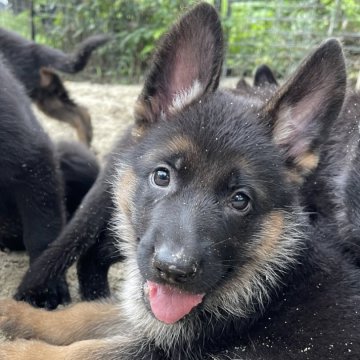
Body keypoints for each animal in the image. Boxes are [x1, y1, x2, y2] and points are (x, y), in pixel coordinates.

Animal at [3, 3, 360, 360]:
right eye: (162, 176)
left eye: (240, 200)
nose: (173, 270)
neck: (267, 279)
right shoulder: (147, 313)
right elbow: (85, 313)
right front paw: (15, 313)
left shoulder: (162, 347)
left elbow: (83, 350)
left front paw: (16, 349)